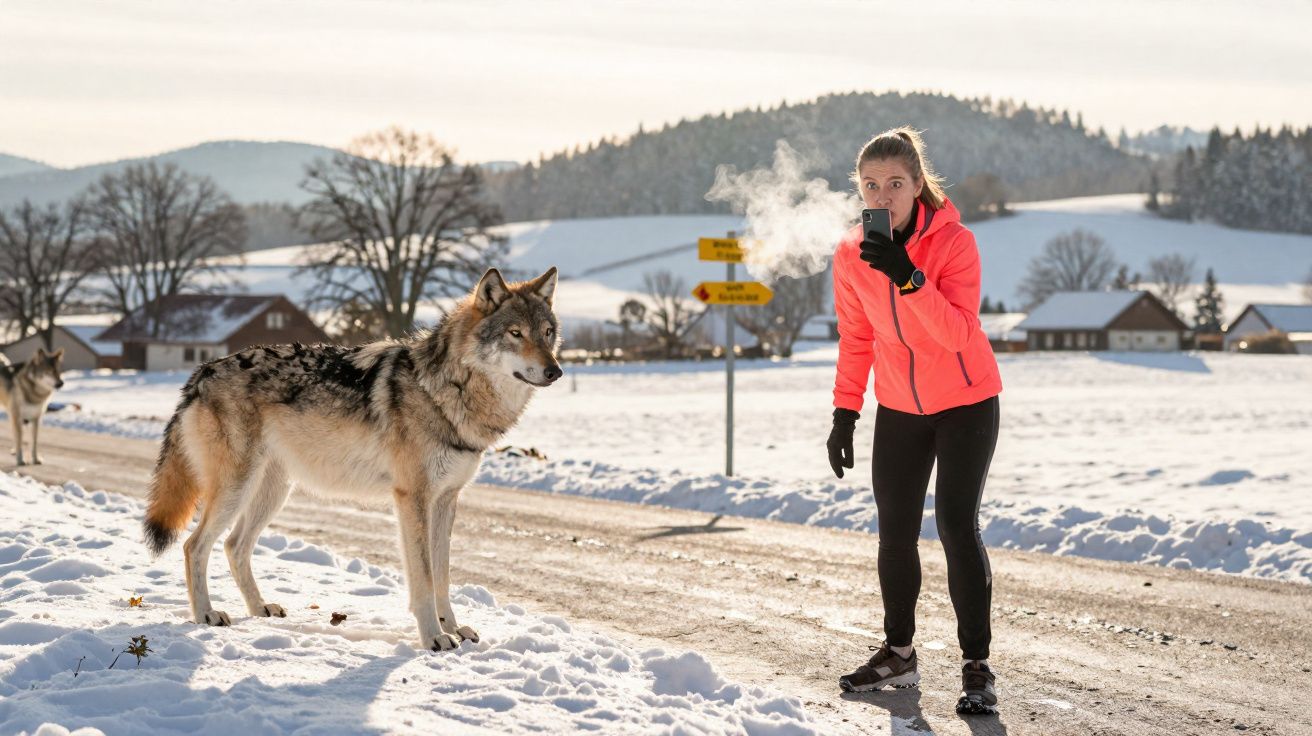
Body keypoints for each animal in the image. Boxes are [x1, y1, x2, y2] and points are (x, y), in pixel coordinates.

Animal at [143, 267, 562, 650]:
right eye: (515, 334)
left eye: (547, 333)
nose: (555, 371)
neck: (447, 389)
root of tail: (201, 371)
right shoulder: (413, 499)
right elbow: (425, 579)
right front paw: (433, 637)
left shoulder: (446, 500)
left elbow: (443, 577)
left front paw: (455, 629)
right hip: (236, 489)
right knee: (194, 546)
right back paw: (206, 615)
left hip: (273, 492)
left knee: (234, 546)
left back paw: (259, 607)